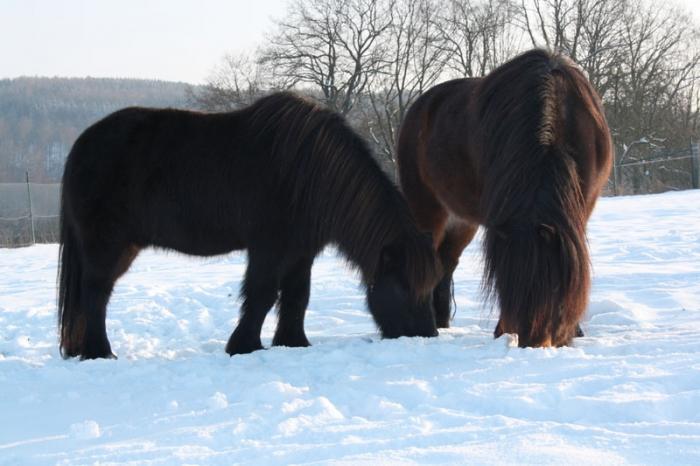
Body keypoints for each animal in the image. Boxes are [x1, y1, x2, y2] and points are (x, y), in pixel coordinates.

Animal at [58, 91, 442, 360]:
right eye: (404, 286)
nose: (428, 334)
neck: (309, 172)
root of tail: (82, 145)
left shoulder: (301, 252)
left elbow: (297, 296)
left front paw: (293, 342)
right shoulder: (268, 247)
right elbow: (262, 293)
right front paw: (244, 345)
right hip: (107, 244)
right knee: (96, 293)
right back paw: (99, 352)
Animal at [397, 49, 612, 347]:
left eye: (553, 285)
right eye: (507, 286)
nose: (532, 343)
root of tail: (421, 105)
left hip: (462, 221)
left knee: (446, 264)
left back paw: (442, 323)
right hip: (428, 208)